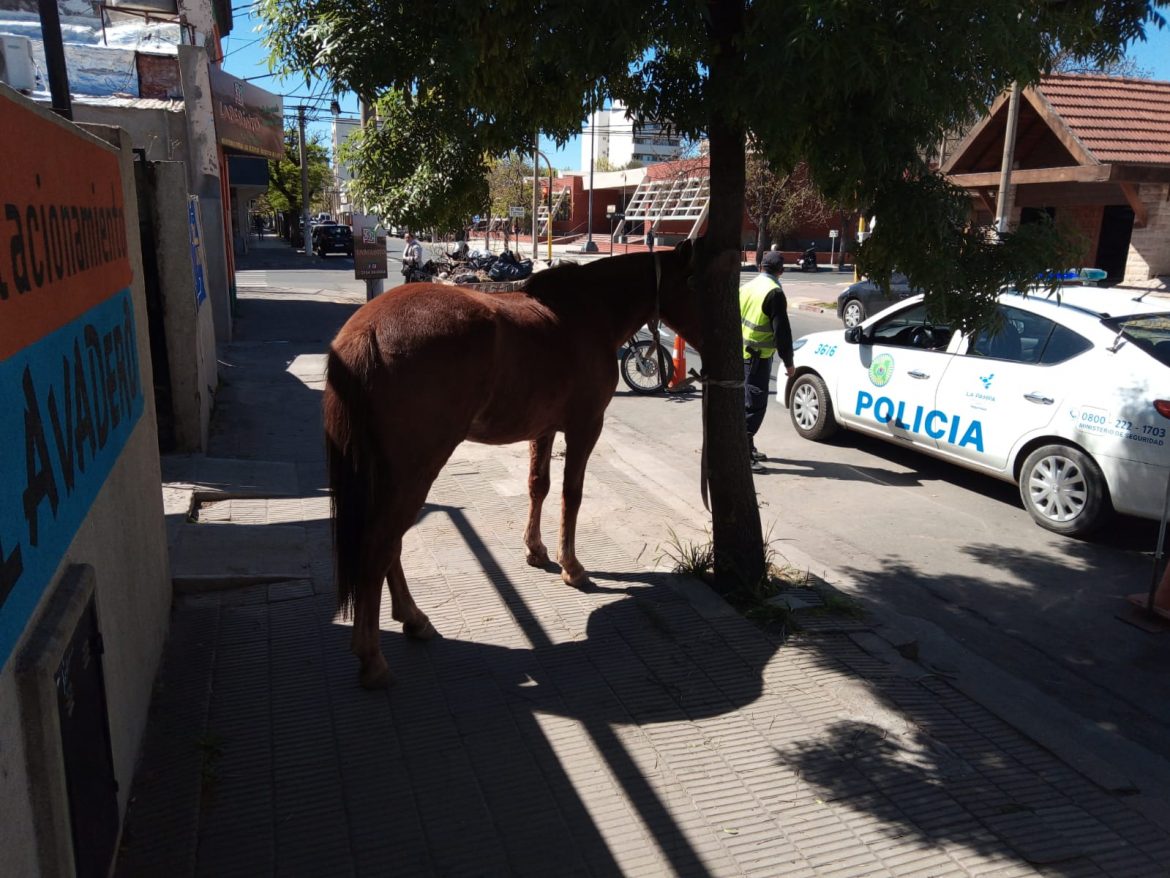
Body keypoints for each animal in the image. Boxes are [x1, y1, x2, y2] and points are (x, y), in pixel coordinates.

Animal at [325, 241, 702, 688]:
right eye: (698, 280)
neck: (587, 311)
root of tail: (367, 330)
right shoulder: (585, 426)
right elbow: (571, 494)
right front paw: (572, 567)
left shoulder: (544, 428)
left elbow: (538, 485)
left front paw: (536, 550)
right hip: (414, 470)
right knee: (381, 544)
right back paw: (373, 657)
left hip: (388, 472)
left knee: (391, 544)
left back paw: (414, 619)